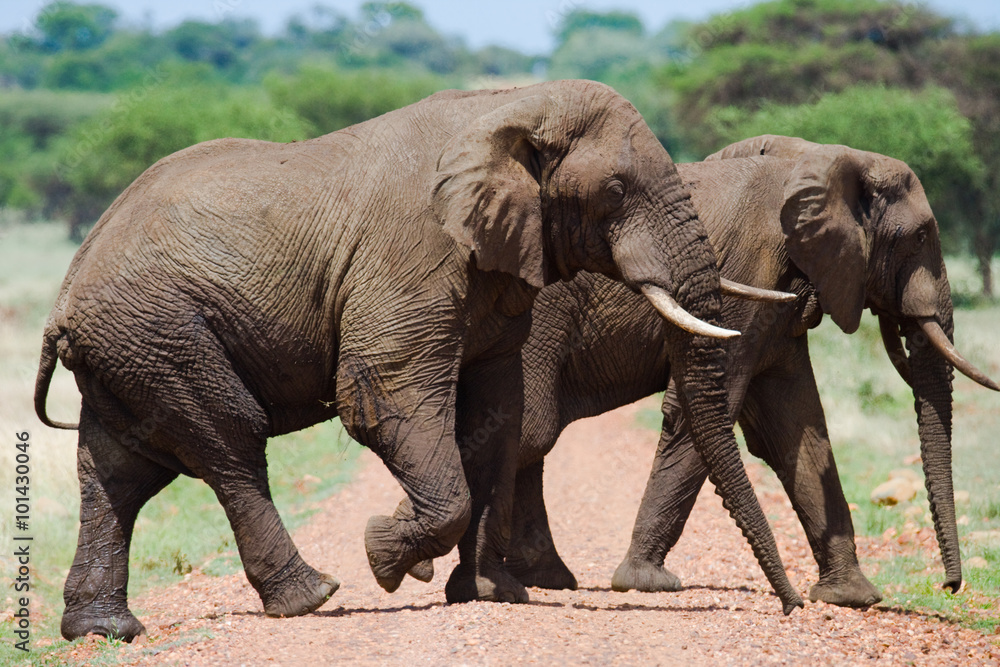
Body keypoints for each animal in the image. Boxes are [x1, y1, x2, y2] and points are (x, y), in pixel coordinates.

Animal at [34, 81, 803, 642]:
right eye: (616, 191)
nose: (794, 605)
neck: (511, 104)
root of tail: (63, 298)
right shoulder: (411, 258)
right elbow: (382, 394)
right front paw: (389, 555)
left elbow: (496, 418)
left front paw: (488, 593)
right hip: (163, 331)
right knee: (230, 442)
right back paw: (311, 595)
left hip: (131, 347)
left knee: (119, 472)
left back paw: (105, 631)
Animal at [407, 134, 998, 608]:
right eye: (920, 237)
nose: (949, 587)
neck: (821, 159)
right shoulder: (746, 276)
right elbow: (703, 414)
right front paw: (645, 583)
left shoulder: (777, 312)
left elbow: (798, 432)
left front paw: (853, 598)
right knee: (529, 432)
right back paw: (453, 573)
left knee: (526, 439)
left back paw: (541, 579)